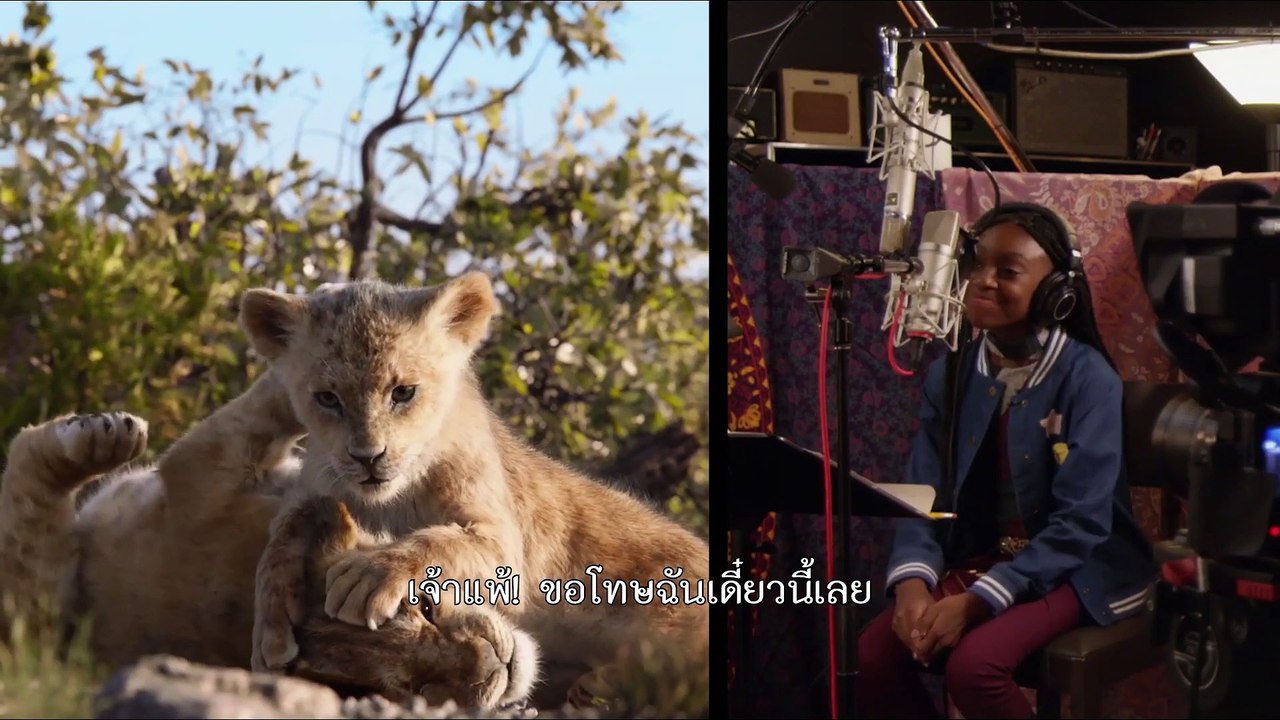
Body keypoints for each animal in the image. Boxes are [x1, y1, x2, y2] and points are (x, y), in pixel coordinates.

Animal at [0, 368, 539, 711]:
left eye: (425, 605)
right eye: (419, 690)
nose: (495, 663)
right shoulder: (196, 475)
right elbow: (274, 399)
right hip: (39, 600)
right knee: (25, 462)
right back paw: (103, 439)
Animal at [241, 272, 710, 706]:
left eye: (403, 392)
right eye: (327, 398)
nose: (367, 457)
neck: (392, 500)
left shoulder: (504, 542)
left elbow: (440, 542)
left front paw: (370, 576)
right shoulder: (314, 484)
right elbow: (286, 530)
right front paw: (270, 626)